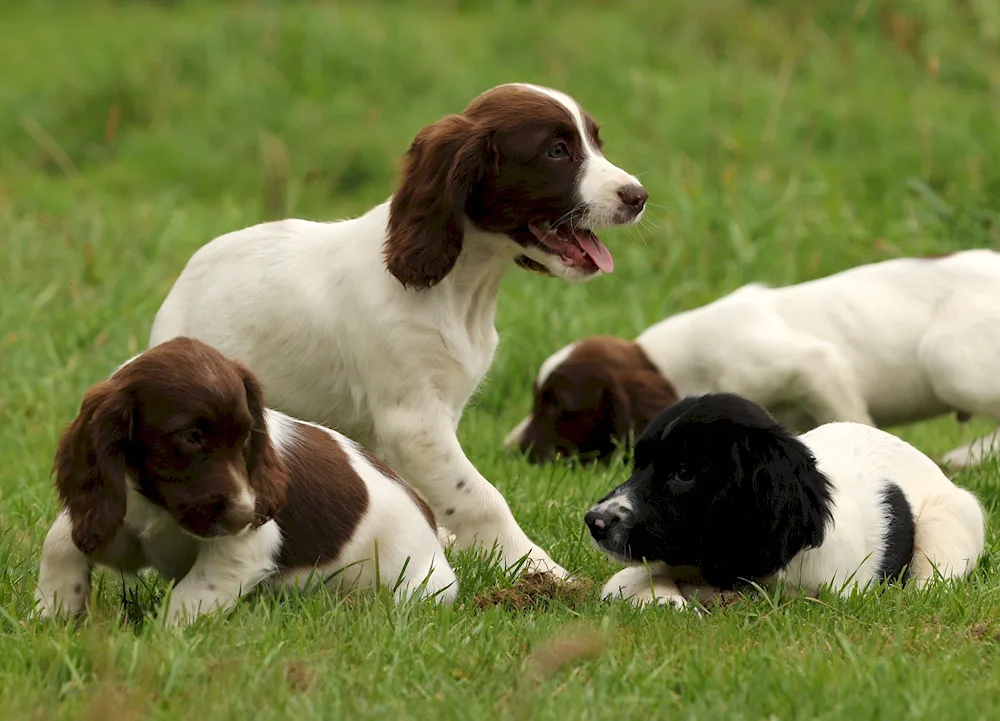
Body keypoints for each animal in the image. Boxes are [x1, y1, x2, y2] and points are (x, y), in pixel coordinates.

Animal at [34, 338, 458, 624]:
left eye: (244, 439)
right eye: (191, 437)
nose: (243, 515)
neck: (157, 504)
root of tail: (429, 519)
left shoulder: (245, 547)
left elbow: (189, 596)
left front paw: (161, 641)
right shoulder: (121, 523)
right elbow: (61, 541)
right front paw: (55, 611)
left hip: (419, 581)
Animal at [148, 83, 648, 580]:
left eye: (596, 142)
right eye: (556, 150)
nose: (638, 196)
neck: (461, 289)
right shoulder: (414, 423)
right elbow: (481, 498)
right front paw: (539, 569)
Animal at [504, 250, 1000, 470]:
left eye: (557, 405)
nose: (509, 450)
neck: (673, 362)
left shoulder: (814, 364)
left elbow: (852, 421)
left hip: (946, 360)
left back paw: (964, 457)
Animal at [584, 394, 984, 608]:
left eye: (684, 473)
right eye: (637, 465)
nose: (595, 521)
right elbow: (628, 578)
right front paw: (664, 599)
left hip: (950, 519)